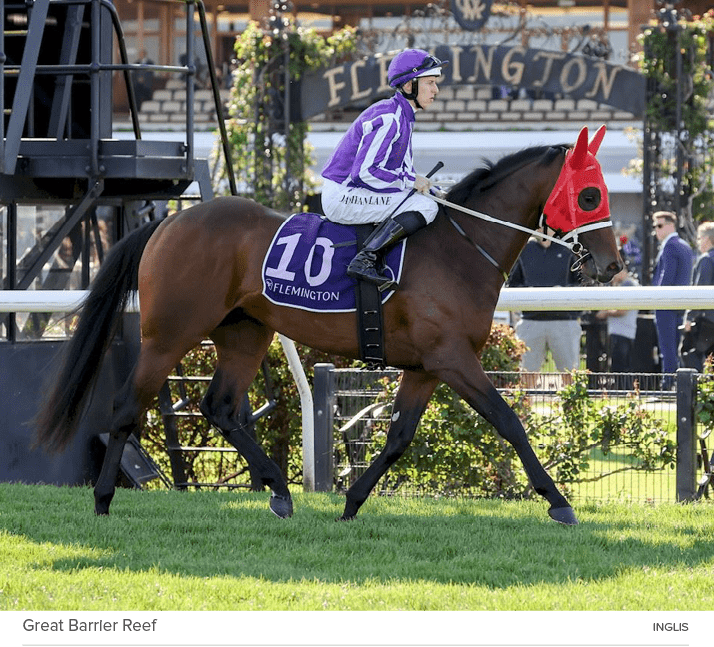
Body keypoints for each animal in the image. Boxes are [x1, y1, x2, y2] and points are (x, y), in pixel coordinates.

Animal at [36, 125, 620, 528]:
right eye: (590, 195)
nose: (612, 265)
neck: (460, 247)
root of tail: (169, 221)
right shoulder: (454, 359)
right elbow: (509, 421)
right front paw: (559, 502)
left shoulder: (427, 367)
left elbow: (399, 437)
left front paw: (351, 502)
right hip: (168, 334)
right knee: (126, 407)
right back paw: (103, 500)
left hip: (245, 334)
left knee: (220, 407)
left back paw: (278, 490)